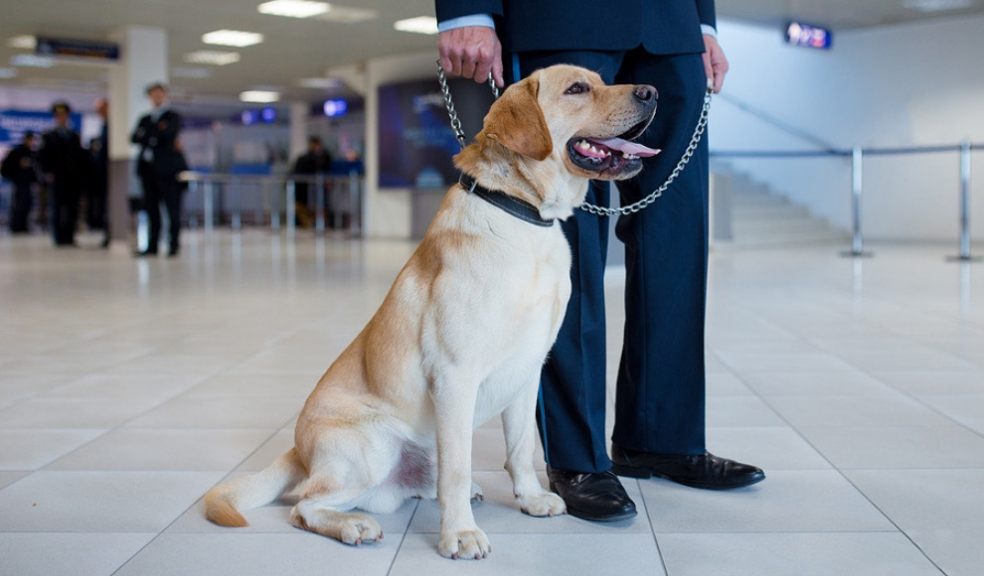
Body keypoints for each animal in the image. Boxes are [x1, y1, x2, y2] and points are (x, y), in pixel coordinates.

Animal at [204, 65, 656, 560]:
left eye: (601, 80)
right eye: (577, 89)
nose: (651, 91)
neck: (523, 215)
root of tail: (297, 449)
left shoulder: (528, 369)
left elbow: (520, 448)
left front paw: (531, 498)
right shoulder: (455, 374)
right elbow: (457, 467)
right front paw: (460, 533)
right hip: (372, 448)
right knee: (305, 504)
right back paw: (353, 525)